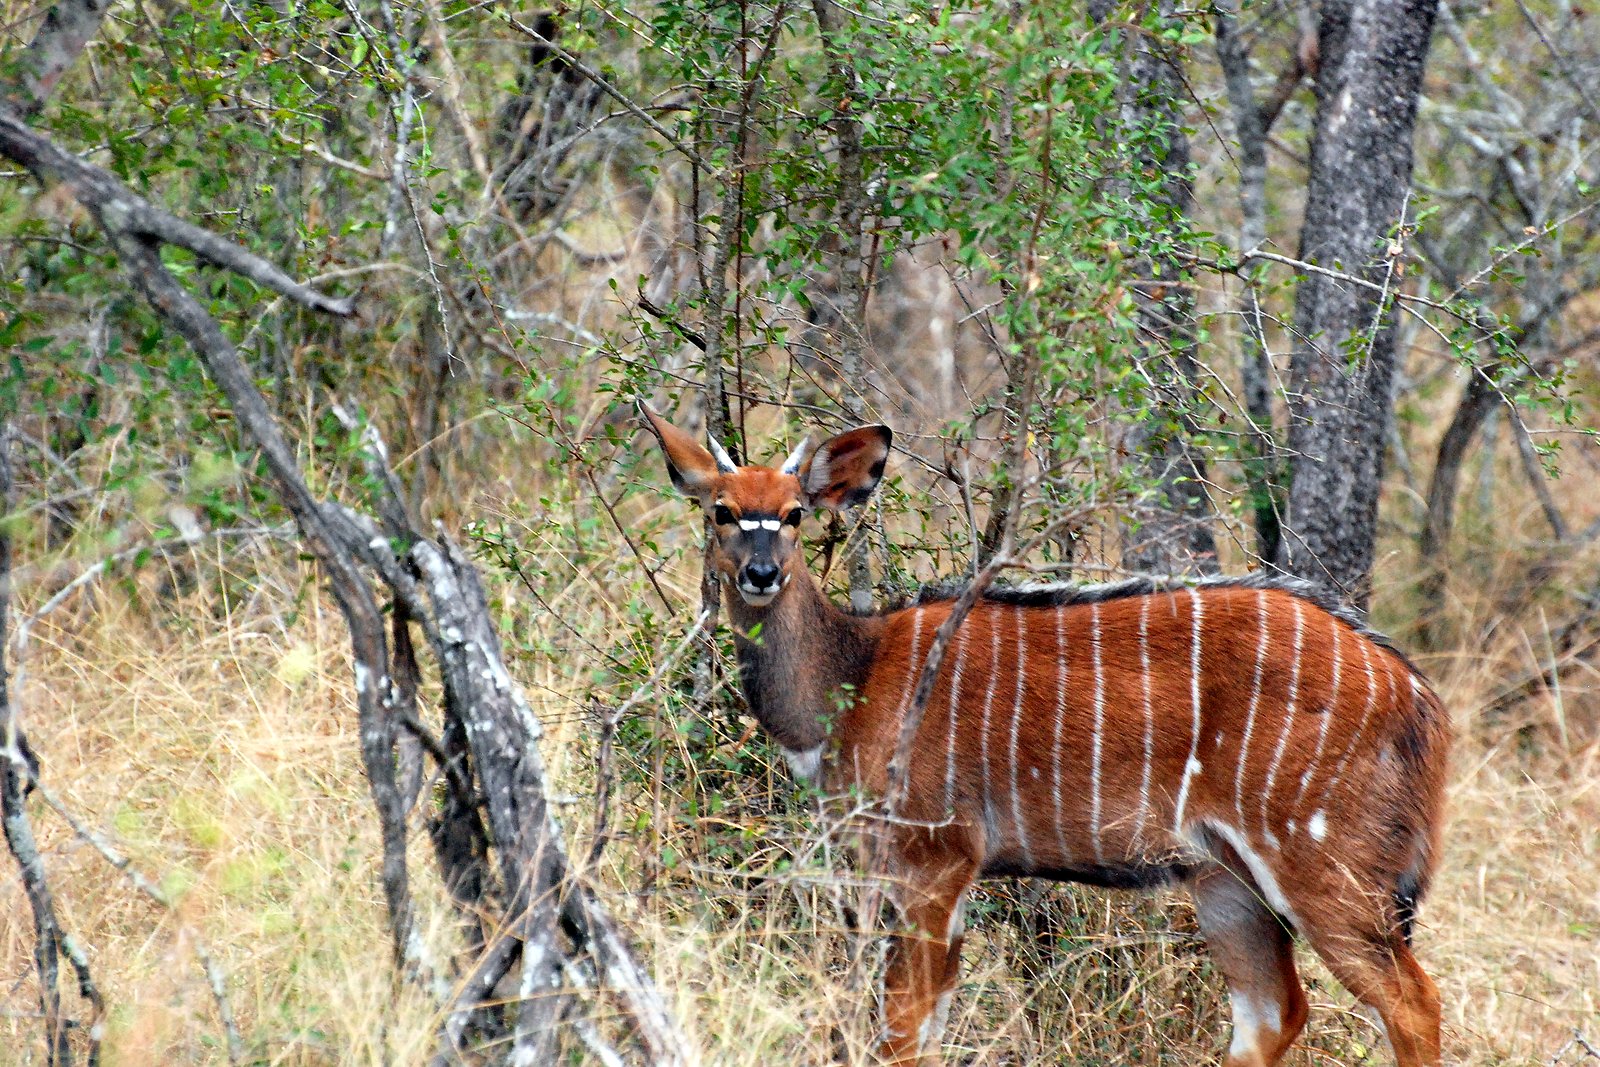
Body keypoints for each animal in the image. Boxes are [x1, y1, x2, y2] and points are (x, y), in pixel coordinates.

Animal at [639, 403, 1449, 1067]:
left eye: (794, 513)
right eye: (722, 510)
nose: (761, 573)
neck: (857, 678)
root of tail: (1416, 696)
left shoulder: (935, 858)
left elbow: (900, 1031)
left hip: (1321, 862)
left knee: (1412, 999)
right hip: (1224, 878)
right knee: (1273, 1011)